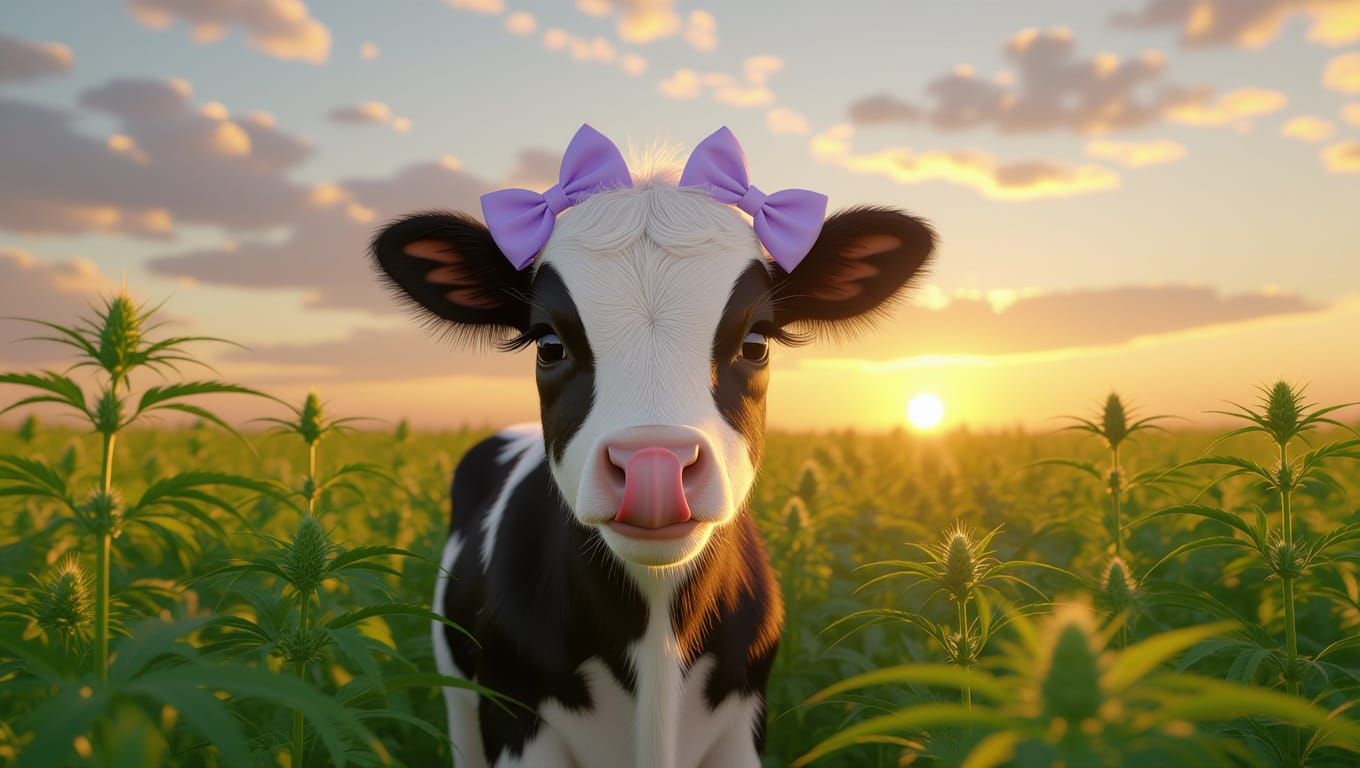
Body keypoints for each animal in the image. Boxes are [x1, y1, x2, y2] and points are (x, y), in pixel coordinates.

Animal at [370, 125, 935, 768]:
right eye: (548, 344)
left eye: (756, 341)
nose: (653, 468)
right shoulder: (516, 719)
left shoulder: (743, 724)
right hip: (460, 700)